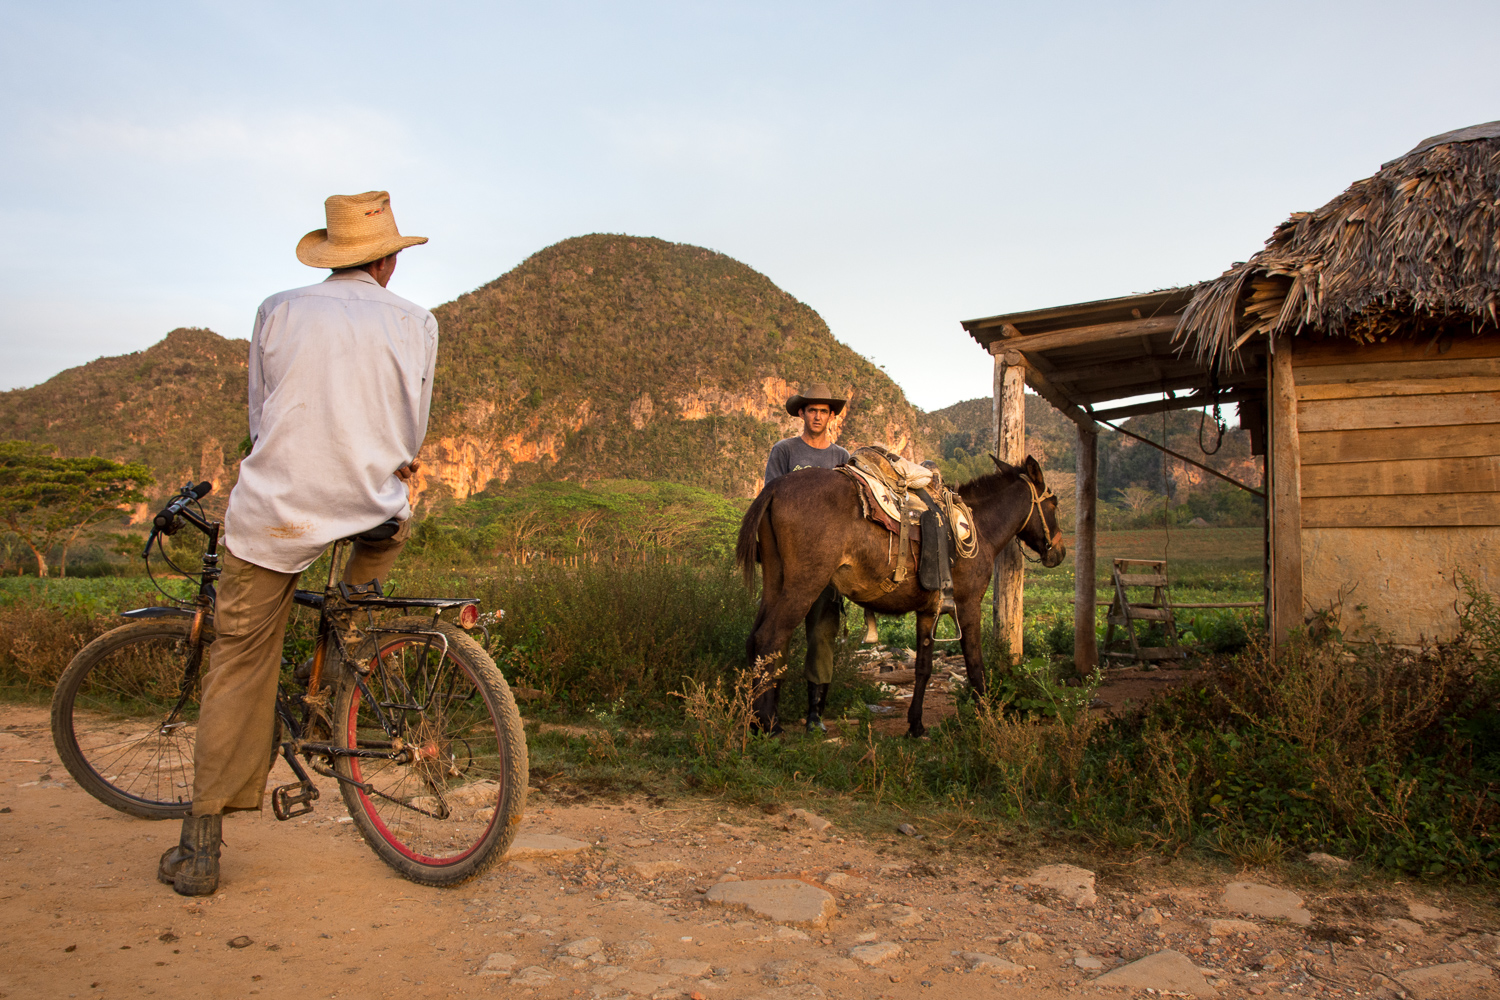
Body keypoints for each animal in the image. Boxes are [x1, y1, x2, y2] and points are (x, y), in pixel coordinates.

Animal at [735, 458, 1068, 740]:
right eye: (1054, 504)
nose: (1060, 552)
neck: (979, 526)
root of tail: (775, 487)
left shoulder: (927, 613)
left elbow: (923, 668)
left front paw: (916, 725)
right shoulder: (969, 606)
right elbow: (975, 665)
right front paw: (986, 720)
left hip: (775, 582)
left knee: (755, 639)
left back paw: (757, 718)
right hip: (803, 586)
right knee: (770, 638)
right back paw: (767, 725)